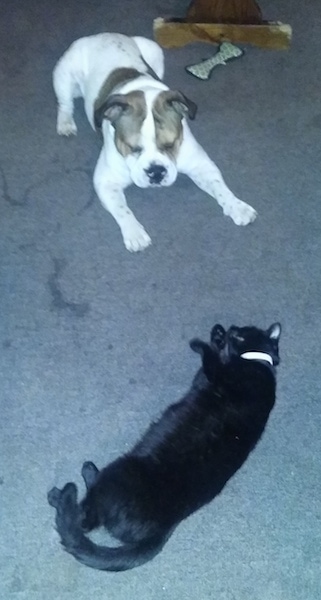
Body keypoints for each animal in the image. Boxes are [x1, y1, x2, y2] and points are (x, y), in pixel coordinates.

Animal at [47, 324, 280, 572]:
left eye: (239, 335)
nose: (231, 329)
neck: (259, 364)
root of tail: (163, 529)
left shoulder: (217, 375)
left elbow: (210, 359)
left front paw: (202, 343)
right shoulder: (202, 381)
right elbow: (209, 363)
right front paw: (217, 336)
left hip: (118, 470)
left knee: (83, 520)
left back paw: (68, 488)